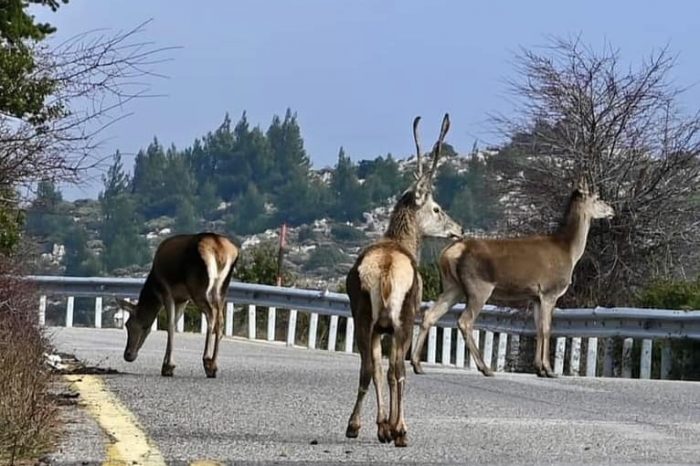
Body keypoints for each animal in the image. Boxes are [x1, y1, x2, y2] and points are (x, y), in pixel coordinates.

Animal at [117, 233, 238, 378]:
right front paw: (166, 365)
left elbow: (170, 325)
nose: (128, 355)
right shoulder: (182, 299)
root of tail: (220, 248)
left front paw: (168, 366)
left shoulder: (167, 292)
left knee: (210, 315)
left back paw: (207, 362)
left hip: (198, 287)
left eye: (128, 324)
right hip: (222, 288)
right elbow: (174, 323)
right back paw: (213, 366)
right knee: (220, 320)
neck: (154, 286)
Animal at [410, 180, 612, 376]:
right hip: (478, 286)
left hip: (453, 286)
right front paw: (548, 369)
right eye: (597, 198)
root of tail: (449, 253)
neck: (569, 250)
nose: (612, 210)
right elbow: (547, 329)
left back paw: (417, 364)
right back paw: (485, 367)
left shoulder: (536, 296)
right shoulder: (550, 291)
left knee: (430, 314)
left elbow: (538, 329)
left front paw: (539, 368)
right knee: (465, 321)